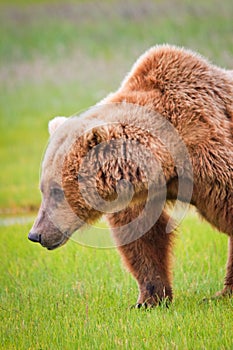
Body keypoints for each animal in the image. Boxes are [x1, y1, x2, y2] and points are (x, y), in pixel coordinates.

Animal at [27, 45, 233, 308]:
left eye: (56, 190)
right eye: (42, 189)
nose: (36, 234)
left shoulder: (210, 155)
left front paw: (223, 293)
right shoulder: (140, 195)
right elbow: (142, 237)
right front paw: (149, 299)